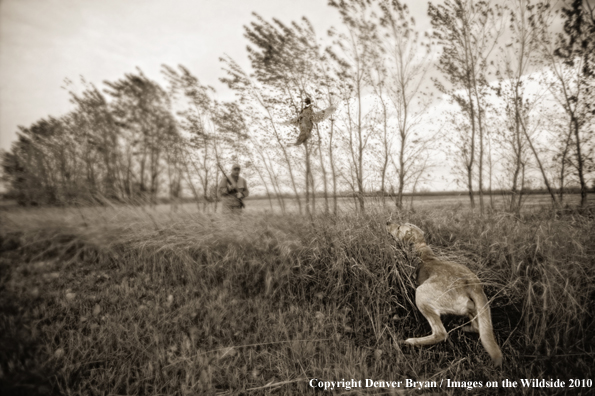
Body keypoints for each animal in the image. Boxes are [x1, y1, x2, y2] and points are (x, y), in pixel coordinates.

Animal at [386, 221, 502, 366]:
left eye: (398, 228)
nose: (387, 222)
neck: (421, 247)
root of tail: (472, 283)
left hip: (421, 294)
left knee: (440, 333)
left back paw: (411, 342)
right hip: (473, 309)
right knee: (478, 328)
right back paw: (462, 328)